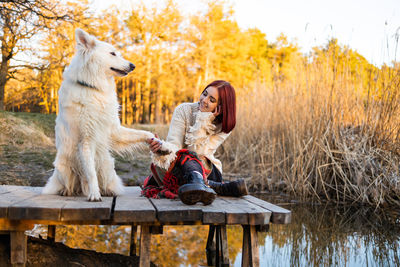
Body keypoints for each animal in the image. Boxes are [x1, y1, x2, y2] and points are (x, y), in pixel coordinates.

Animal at [42, 28, 155, 201]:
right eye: (113, 53)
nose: (133, 66)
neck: (94, 88)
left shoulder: (114, 130)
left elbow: (142, 133)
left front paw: (155, 140)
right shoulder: (86, 140)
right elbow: (91, 174)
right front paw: (94, 194)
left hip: (106, 165)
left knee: (102, 182)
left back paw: (108, 191)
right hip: (63, 166)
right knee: (72, 184)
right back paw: (68, 191)